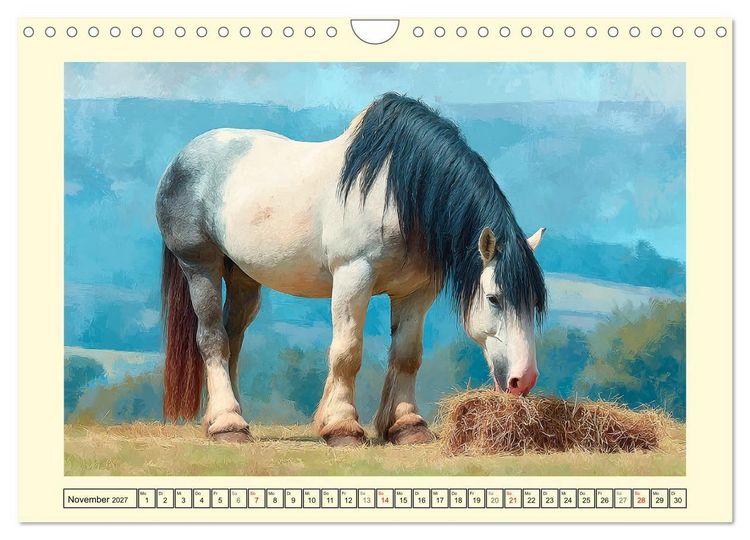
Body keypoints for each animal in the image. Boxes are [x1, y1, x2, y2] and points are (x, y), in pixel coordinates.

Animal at [156, 93, 547, 447]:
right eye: (494, 298)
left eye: (535, 304)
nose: (523, 380)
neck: (398, 194)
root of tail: (181, 160)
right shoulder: (353, 277)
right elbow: (347, 353)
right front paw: (342, 427)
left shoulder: (417, 291)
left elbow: (407, 355)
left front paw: (407, 426)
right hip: (200, 267)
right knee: (213, 339)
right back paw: (228, 425)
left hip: (243, 279)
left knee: (233, 339)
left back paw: (229, 418)